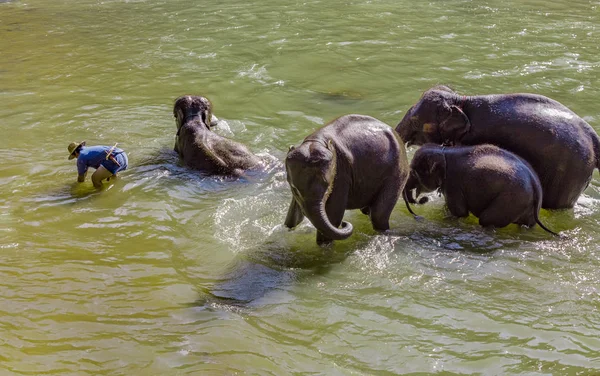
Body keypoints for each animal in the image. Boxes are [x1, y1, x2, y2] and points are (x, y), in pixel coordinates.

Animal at [284, 114, 408, 244]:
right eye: (294, 190)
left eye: (328, 189)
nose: (345, 224)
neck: (317, 141)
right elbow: (292, 215)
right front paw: (288, 227)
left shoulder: (341, 173)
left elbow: (334, 215)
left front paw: (324, 245)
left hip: (397, 173)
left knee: (378, 215)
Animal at [404, 144, 556, 235]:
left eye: (414, 173)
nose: (422, 200)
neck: (444, 150)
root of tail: (535, 185)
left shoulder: (454, 183)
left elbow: (460, 212)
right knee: (527, 225)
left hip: (511, 199)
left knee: (486, 219)